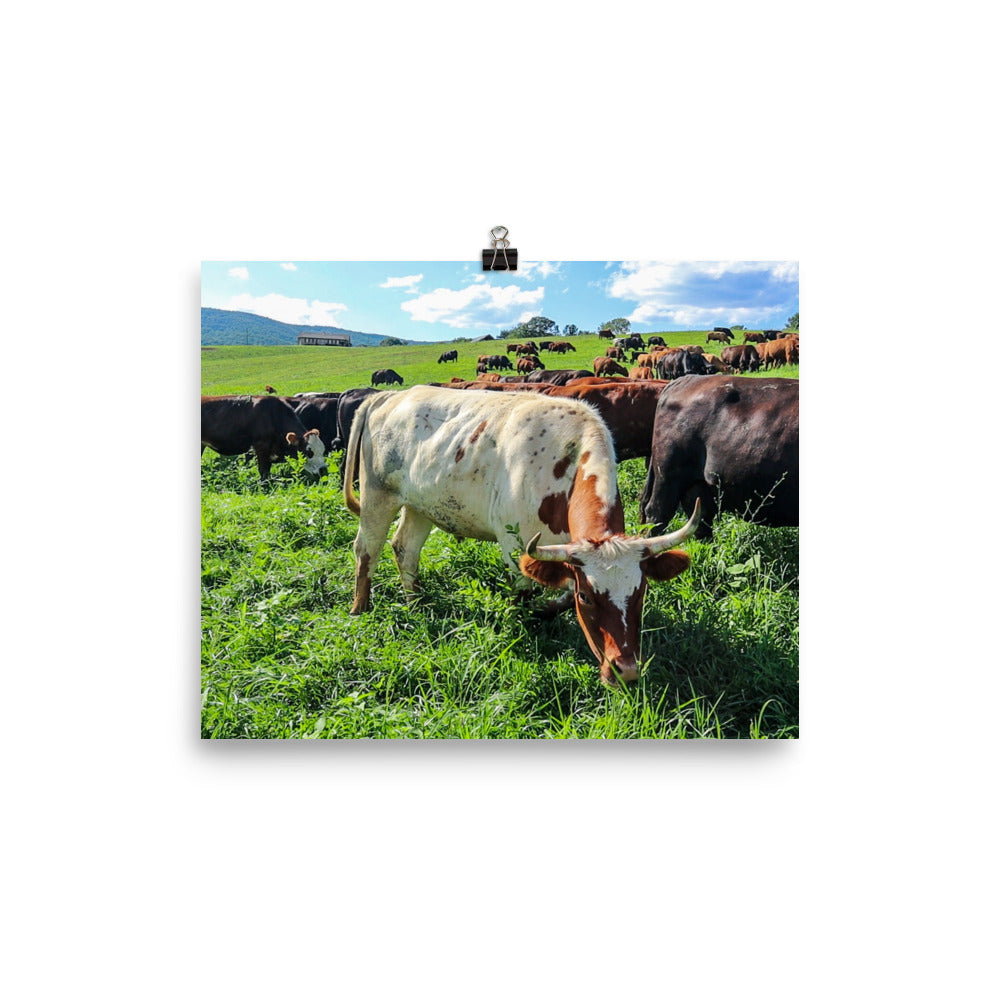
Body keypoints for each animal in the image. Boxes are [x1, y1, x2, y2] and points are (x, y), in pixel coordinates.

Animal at [343, 385, 700, 684]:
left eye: (641, 592)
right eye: (588, 597)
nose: (625, 671)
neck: (564, 463)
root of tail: (389, 396)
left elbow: (559, 597)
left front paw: (546, 611)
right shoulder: (515, 546)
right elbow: (524, 596)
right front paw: (526, 626)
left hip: (420, 506)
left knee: (405, 549)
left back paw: (416, 602)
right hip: (377, 496)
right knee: (366, 550)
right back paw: (360, 609)